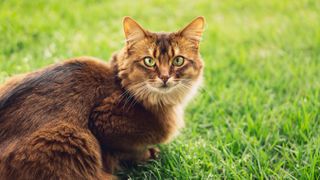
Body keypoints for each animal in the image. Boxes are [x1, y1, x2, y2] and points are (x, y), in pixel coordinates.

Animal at [0, 16, 205, 179]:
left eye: (178, 60)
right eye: (149, 61)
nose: (164, 77)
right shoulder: (103, 121)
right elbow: (128, 150)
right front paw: (149, 155)